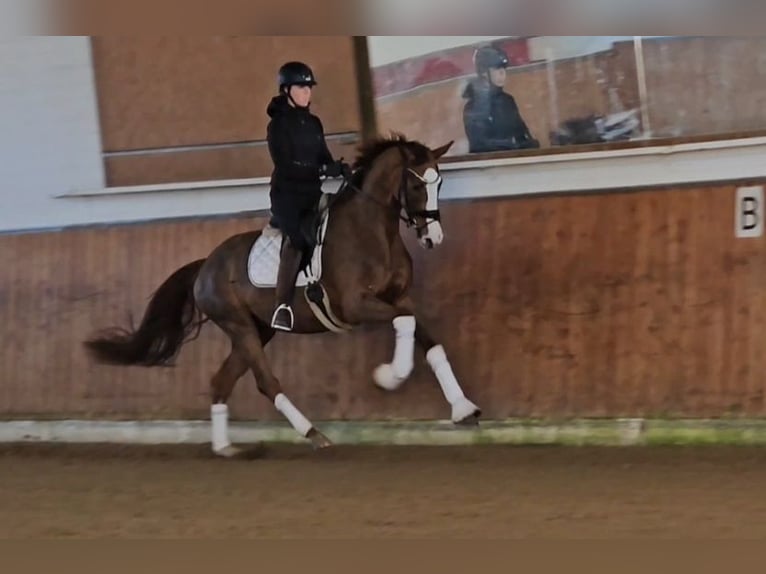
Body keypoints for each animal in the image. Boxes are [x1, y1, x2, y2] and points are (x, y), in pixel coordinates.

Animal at [83, 134, 482, 457]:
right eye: (415, 185)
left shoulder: (400, 297)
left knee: (222, 381)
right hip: (239, 326)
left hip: (256, 330)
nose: (433, 238)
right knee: (265, 381)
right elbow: (405, 324)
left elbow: (428, 340)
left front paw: (464, 408)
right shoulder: (354, 306)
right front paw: (389, 376)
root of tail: (205, 264)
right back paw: (314, 434)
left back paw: (226, 448)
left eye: (439, 182)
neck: (372, 232)